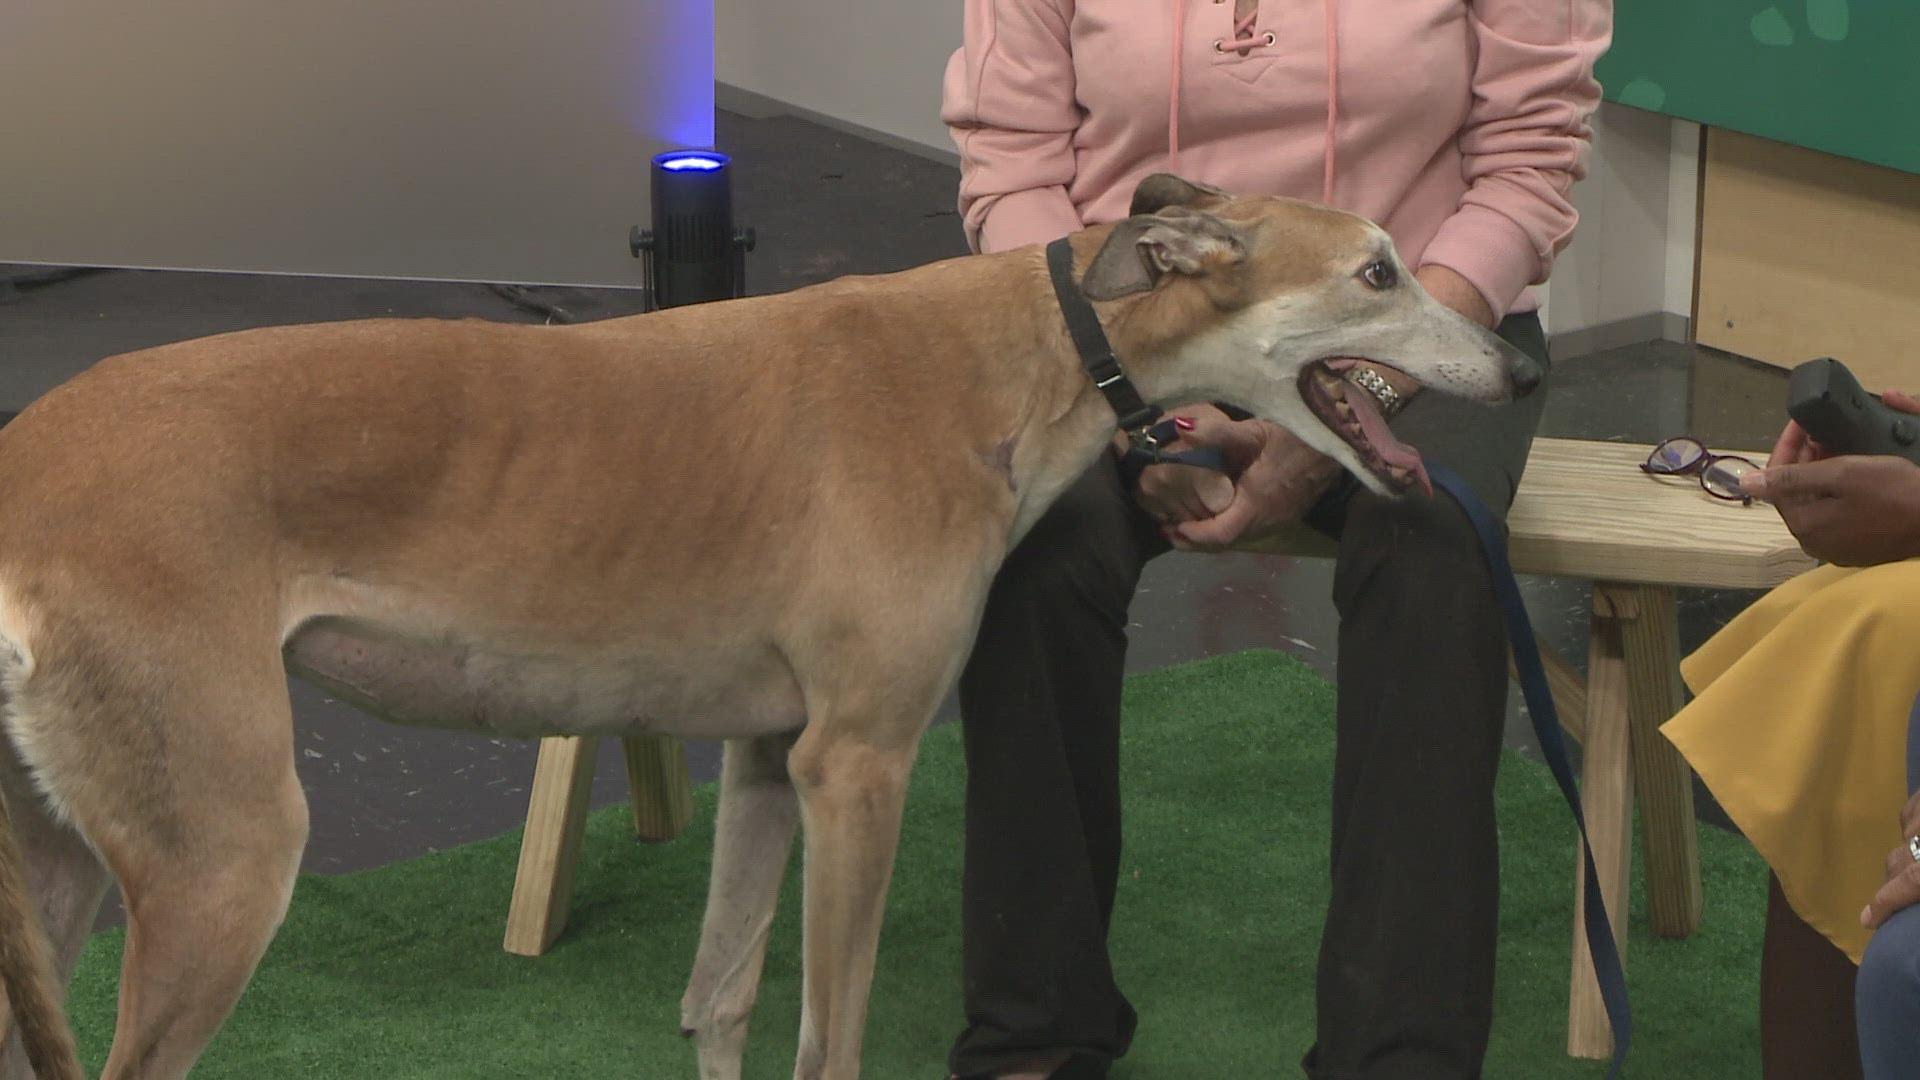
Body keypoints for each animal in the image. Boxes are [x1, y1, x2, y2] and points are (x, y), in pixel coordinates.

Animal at [0, 171, 1536, 1068]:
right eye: (1378, 272)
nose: (1521, 368)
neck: (1018, 355)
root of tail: (28, 458)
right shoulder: (857, 764)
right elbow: (827, 1034)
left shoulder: (763, 760)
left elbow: (722, 999)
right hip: (224, 867)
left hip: (60, 876)